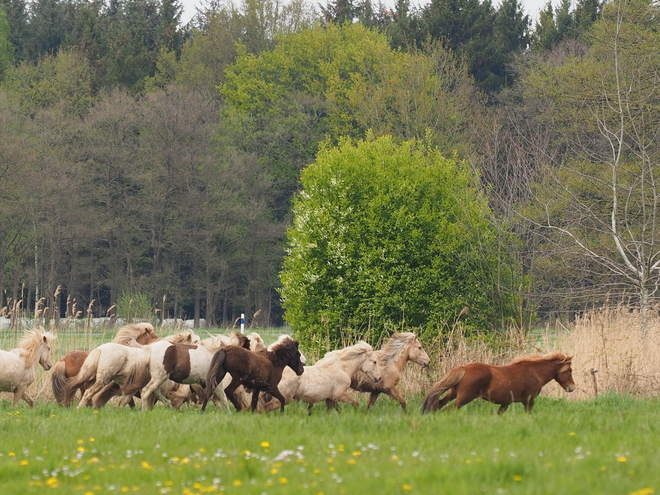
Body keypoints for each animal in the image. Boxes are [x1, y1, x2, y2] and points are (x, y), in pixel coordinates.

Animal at [422, 352, 572, 414]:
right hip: (464, 397)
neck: (534, 373)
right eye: (570, 370)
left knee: (438, 404)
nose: (572, 388)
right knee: (448, 409)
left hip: (453, 393)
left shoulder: (506, 402)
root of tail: (464, 368)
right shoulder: (529, 400)